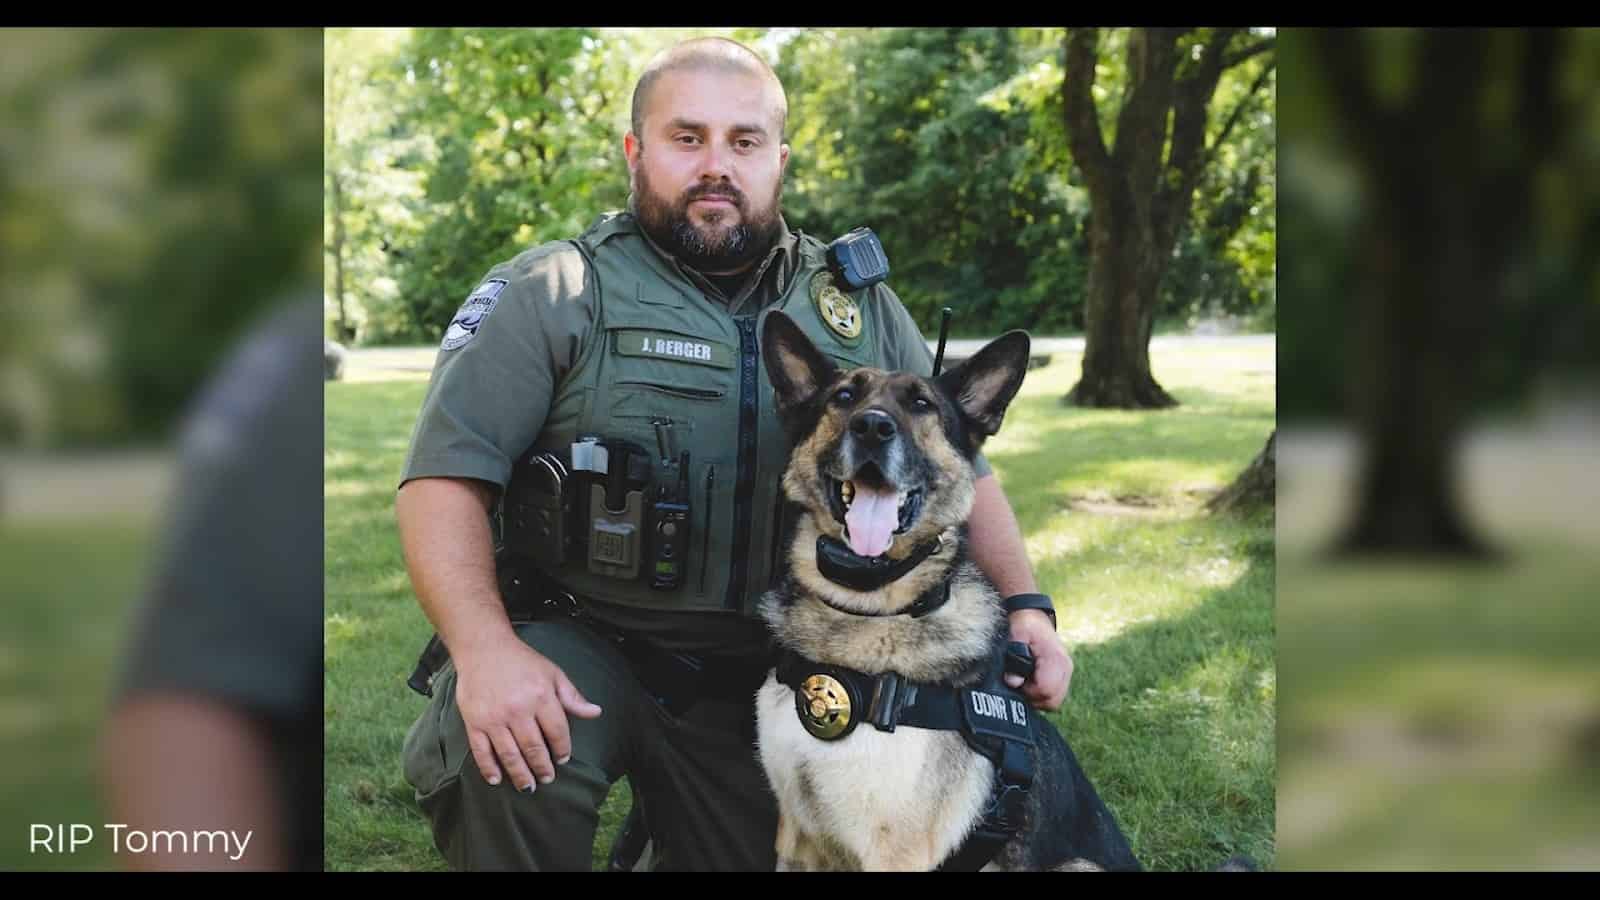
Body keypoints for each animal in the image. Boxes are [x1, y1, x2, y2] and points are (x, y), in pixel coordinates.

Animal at [752, 313, 1152, 871]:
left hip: (1079, 865)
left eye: (922, 405)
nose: (872, 427)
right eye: (843, 397)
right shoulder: (796, 843)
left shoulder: (894, 856)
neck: (871, 612)